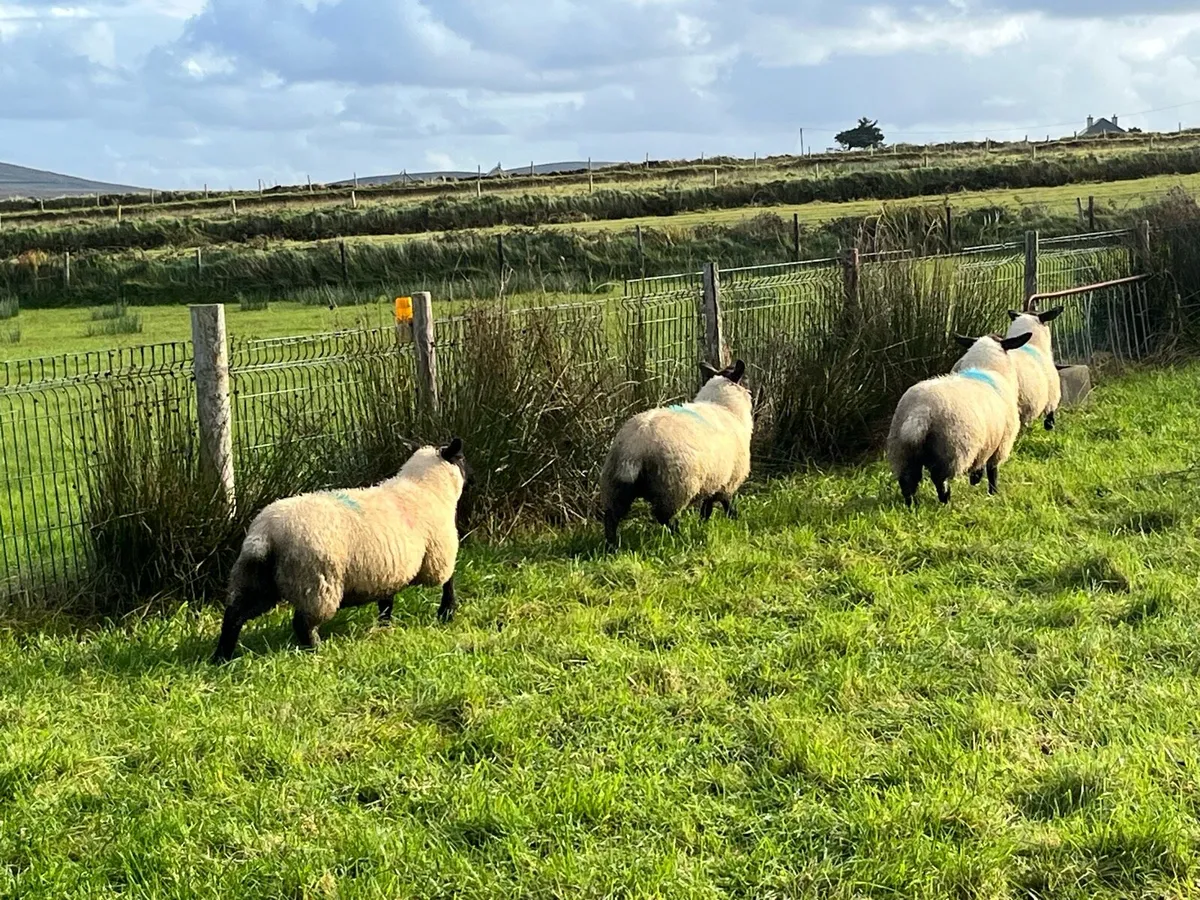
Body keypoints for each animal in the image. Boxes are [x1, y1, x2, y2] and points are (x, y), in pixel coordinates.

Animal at [211, 438, 469, 662]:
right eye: (462, 458)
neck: (424, 488)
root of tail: (265, 533)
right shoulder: (439, 554)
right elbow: (448, 580)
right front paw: (447, 612)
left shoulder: (389, 568)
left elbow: (386, 601)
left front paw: (385, 625)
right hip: (316, 583)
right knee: (302, 624)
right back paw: (316, 650)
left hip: (258, 581)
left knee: (234, 616)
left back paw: (221, 657)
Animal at [599, 359, 753, 549]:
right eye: (745, 379)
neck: (726, 408)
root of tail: (634, 447)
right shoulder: (728, 481)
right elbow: (725, 503)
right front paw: (734, 519)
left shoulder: (714, 480)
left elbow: (707, 507)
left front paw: (703, 523)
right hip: (674, 487)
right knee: (666, 518)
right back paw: (680, 539)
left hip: (615, 486)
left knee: (611, 518)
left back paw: (612, 547)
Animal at [886, 331, 1032, 507]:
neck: (988, 368)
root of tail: (921, 410)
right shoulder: (1001, 443)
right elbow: (992, 471)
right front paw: (992, 492)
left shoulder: (985, 442)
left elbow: (979, 464)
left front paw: (976, 480)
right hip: (952, 448)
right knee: (939, 478)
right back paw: (945, 500)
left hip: (902, 450)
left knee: (907, 480)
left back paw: (912, 505)